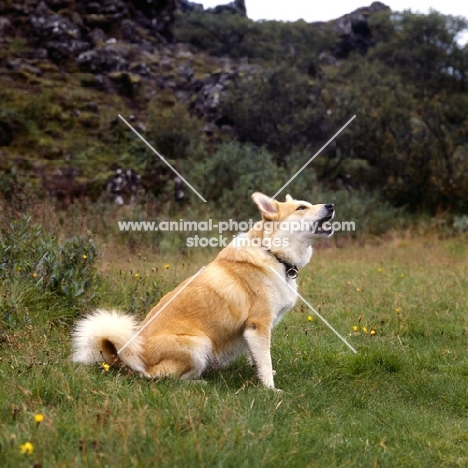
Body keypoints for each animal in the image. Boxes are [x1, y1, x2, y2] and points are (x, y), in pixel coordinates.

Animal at [71, 192, 334, 390]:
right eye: (301, 207)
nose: (331, 205)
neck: (273, 252)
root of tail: (123, 358)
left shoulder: (254, 332)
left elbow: (258, 360)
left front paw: (259, 374)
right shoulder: (259, 326)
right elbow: (265, 362)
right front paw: (270, 390)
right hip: (199, 344)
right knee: (164, 378)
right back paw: (198, 384)